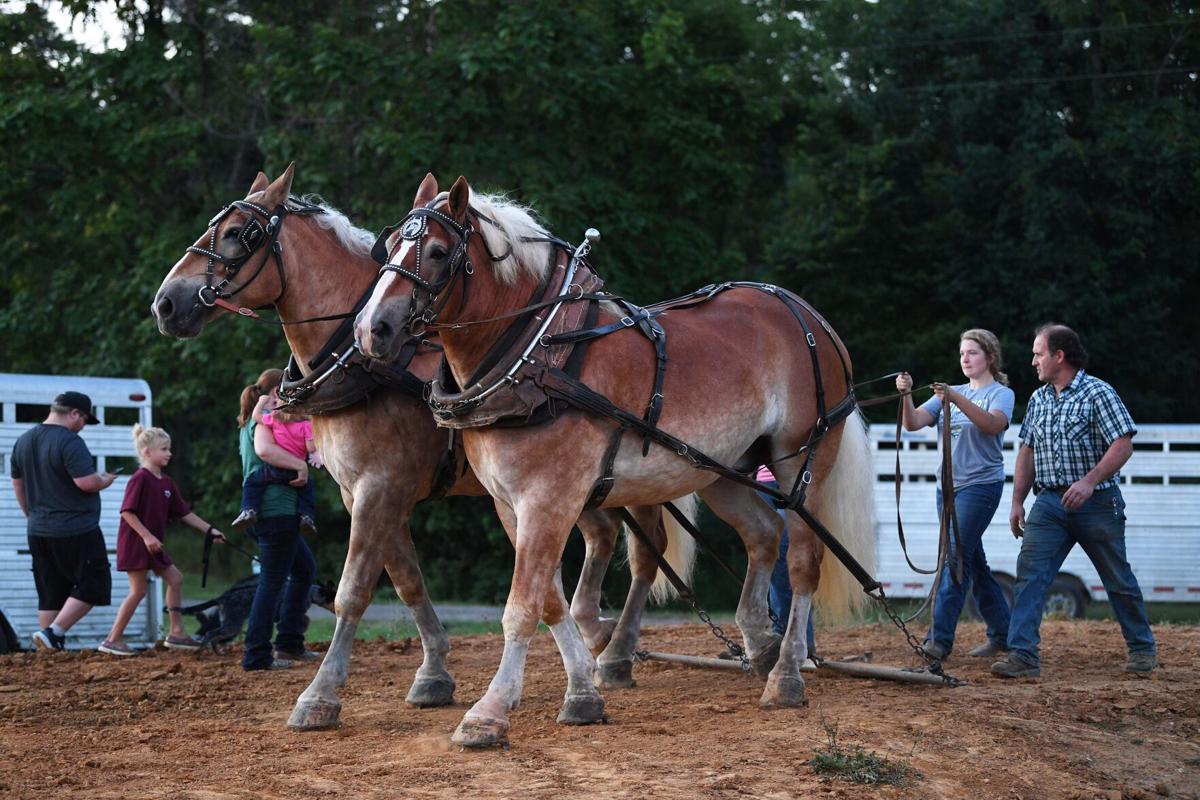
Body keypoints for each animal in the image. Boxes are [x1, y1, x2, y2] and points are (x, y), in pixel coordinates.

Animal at [174, 575, 336, 652]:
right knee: (210, 634)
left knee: (215, 637)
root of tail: (222, 598)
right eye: (334, 596)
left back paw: (217, 652)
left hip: (231, 625)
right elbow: (306, 619)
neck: (311, 592)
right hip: (233, 625)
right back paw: (201, 652)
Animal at [350, 172, 878, 748]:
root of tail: (808, 315)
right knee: (763, 534)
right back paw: (760, 642)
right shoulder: (510, 505)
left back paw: (784, 675)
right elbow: (551, 600)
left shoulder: (548, 500)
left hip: (800, 459)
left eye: (440, 252)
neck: (538, 352)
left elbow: (522, 606)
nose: (371, 329)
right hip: (723, 467)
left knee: (803, 560)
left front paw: (488, 712)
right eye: (389, 244)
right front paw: (583, 694)